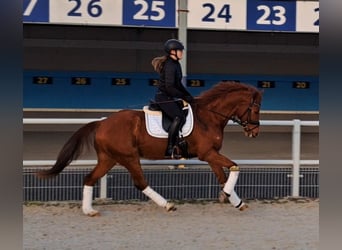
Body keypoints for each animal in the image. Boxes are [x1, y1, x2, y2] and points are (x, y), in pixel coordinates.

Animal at [36, 81, 262, 216]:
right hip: (128, 157)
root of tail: (102, 123)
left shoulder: (210, 155)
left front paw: (235, 201)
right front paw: (228, 195)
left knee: (89, 178)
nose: (254, 131)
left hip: (109, 158)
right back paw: (167, 204)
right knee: (140, 183)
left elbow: (223, 175)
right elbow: (234, 167)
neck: (209, 117)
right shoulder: (208, 153)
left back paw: (89, 211)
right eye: (256, 108)